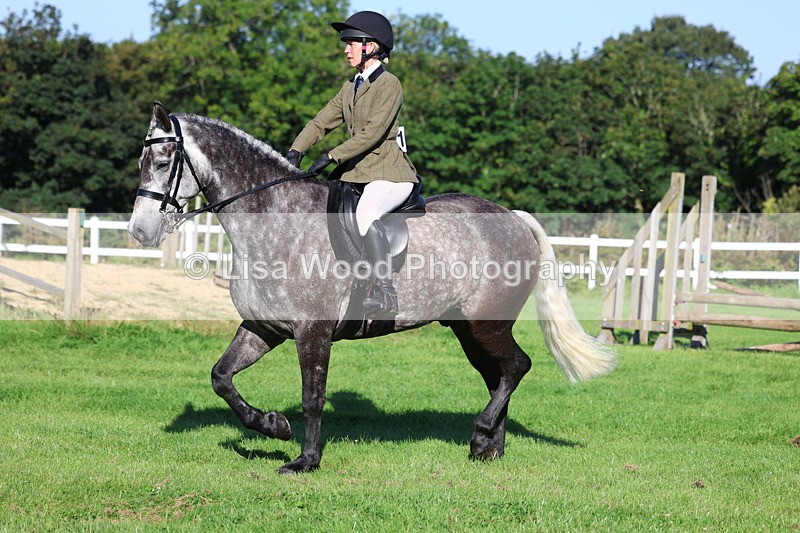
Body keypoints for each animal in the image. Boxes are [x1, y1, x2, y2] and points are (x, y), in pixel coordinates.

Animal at [128, 101, 617, 474]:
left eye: (163, 162)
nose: (139, 232)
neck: (273, 219)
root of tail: (512, 215)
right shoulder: (263, 327)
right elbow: (221, 378)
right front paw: (271, 424)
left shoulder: (312, 332)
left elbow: (312, 397)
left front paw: (305, 460)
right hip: (468, 329)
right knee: (498, 375)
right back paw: (490, 448)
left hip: (486, 324)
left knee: (516, 367)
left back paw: (481, 437)